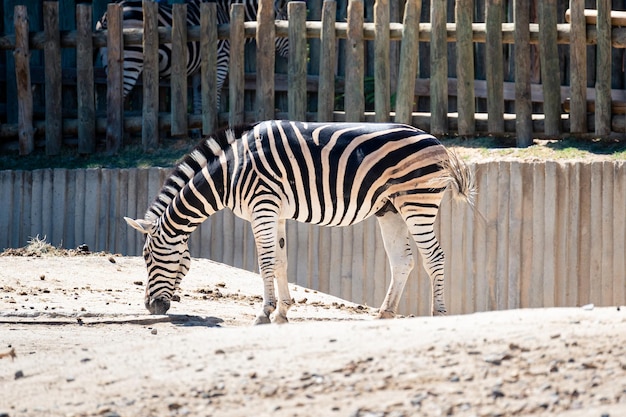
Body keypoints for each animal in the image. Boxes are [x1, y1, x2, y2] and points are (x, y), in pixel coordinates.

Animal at [95, 0, 290, 109]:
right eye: (285, 28)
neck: (226, 13)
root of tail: (106, 16)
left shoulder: (199, 67)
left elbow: (198, 98)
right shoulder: (220, 60)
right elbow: (213, 94)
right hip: (131, 60)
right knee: (115, 99)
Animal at [124, 119, 472, 322]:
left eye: (148, 257)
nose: (151, 308)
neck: (230, 173)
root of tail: (437, 141)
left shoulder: (263, 205)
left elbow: (265, 262)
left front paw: (264, 313)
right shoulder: (274, 212)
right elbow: (280, 261)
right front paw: (282, 312)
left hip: (417, 202)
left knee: (435, 257)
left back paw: (438, 314)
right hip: (390, 208)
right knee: (403, 261)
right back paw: (385, 314)